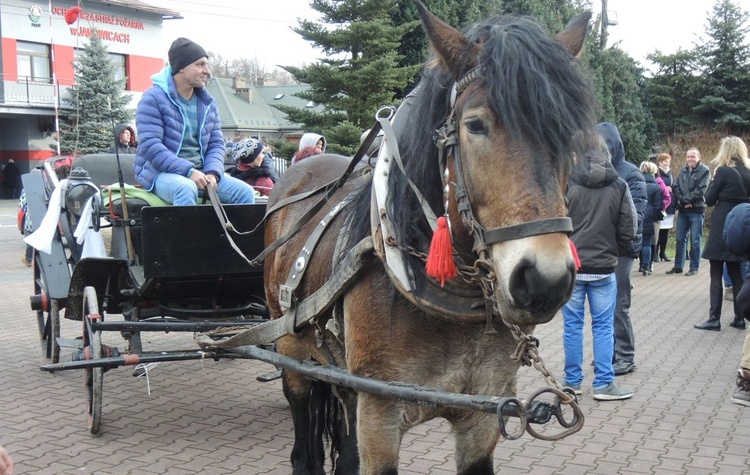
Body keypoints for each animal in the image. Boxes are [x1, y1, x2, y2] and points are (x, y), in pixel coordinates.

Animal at [262, 1, 604, 474]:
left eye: (566, 133)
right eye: (475, 125)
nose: (544, 280)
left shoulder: (484, 412)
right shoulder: (380, 413)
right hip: (291, 348)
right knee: (302, 439)